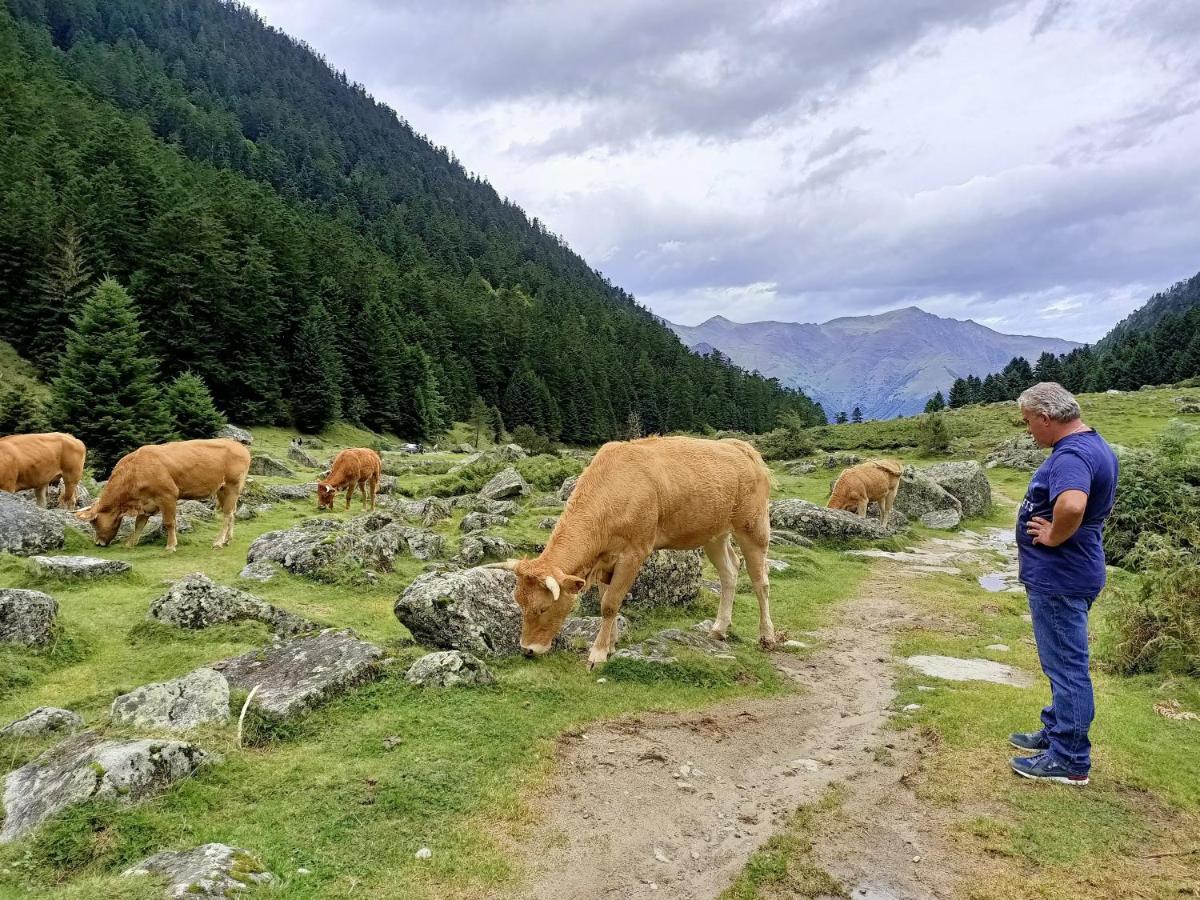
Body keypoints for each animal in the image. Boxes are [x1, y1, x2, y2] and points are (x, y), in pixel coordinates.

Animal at [75, 441, 250, 554]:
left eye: (94, 522)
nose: (98, 543)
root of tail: (239, 446)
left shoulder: (168, 495)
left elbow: (169, 523)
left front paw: (171, 546)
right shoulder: (146, 502)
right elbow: (139, 524)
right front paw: (130, 543)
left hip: (232, 486)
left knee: (227, 514)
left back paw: (218, 542)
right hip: (222, 490)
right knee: (233, 513)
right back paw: (227, 540)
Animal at [484, 436, 772, 672]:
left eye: (543, 608)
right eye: (519, 603)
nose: (527, 650)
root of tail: (739, 447)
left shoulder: (634, 553)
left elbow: (610, 604)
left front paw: (598, 654)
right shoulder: (604, 560)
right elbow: (605, 600)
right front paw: (610, 645)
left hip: (753, 527)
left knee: (760, 581)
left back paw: (766, 637)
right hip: (714, 533)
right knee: (729, 571)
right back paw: (719, 628)